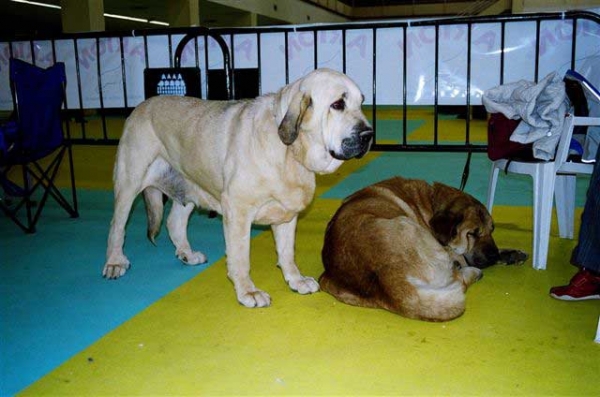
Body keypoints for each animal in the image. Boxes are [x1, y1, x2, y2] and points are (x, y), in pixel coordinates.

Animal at [105, 68, 372, 308]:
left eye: (361, 102)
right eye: (337, 104)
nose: (369, 134)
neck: (290, 150)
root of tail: (141, 105)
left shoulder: (286, 215)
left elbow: (287, 253)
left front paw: (296, 280)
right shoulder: (238, 211)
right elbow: (241, 257)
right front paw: (248, 292)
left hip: (190, 187)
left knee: (174, 222)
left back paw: (187, 254)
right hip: (129, 181)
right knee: (117, 226)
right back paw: (115, 262)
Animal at [318, 176, 524, 322]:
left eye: (492, 230)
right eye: (472, 233)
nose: (493, 255)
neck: (431, 201)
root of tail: (388, 281)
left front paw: (510, 254)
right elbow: (460, 257)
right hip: (407, 224)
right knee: (459, 277)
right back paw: (472, 272)